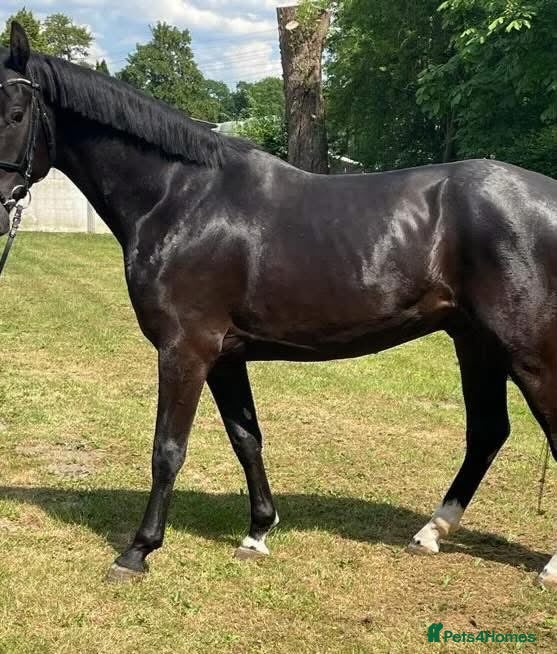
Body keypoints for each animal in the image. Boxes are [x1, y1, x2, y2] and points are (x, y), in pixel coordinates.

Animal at [0, 22, 556, 588]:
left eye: (16, 113)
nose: (1, 210)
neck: (181, 198)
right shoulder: (224, 355)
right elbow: (246, 438)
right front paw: (257, 532)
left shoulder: (186, 350)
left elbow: (167, 450)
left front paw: (137, 551)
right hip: (474, 343)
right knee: (488, 431)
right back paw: (430, 533)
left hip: (528, 352)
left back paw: (547, 568)